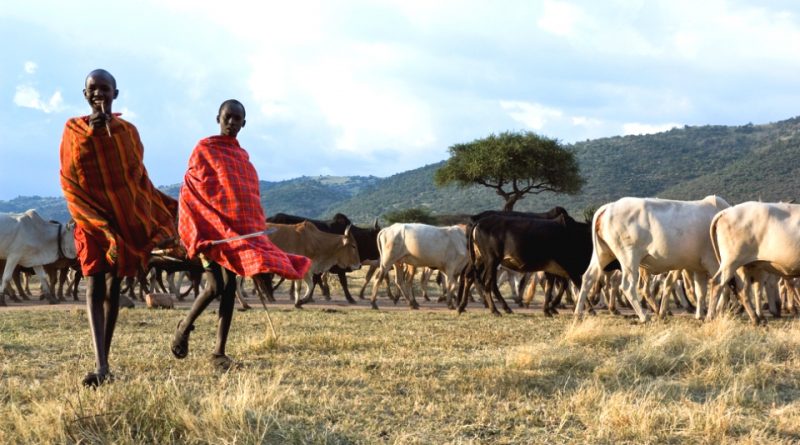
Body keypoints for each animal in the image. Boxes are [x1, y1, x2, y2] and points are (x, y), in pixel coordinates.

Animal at [576, 196, 732, 320]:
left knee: (588, 277)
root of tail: (609, 206)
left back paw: (579, 314)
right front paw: (718, 311)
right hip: (629, 257)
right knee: (628, 286)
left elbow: (701, 291)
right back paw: (644, 316)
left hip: (603, 254)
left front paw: (701, 314)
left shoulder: (699, 267)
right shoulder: (714, 263)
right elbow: (723, 286)